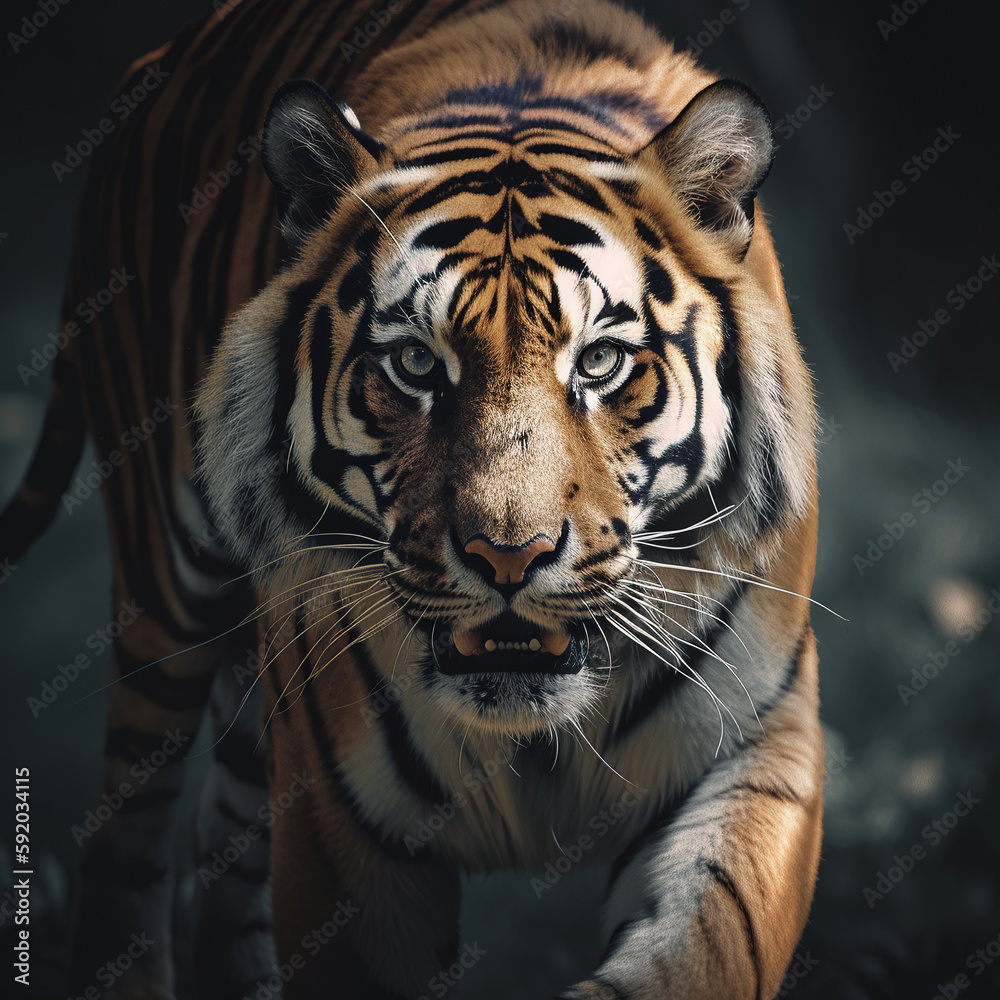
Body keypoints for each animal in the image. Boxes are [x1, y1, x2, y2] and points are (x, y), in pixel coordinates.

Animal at [1, 0, 824, 997]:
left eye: (599, 361)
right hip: (169, 592)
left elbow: (705, 949)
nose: (509, 555)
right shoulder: (343, 815)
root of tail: (167, 49)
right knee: (130, 834)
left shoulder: (755, 748)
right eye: (417, 365)